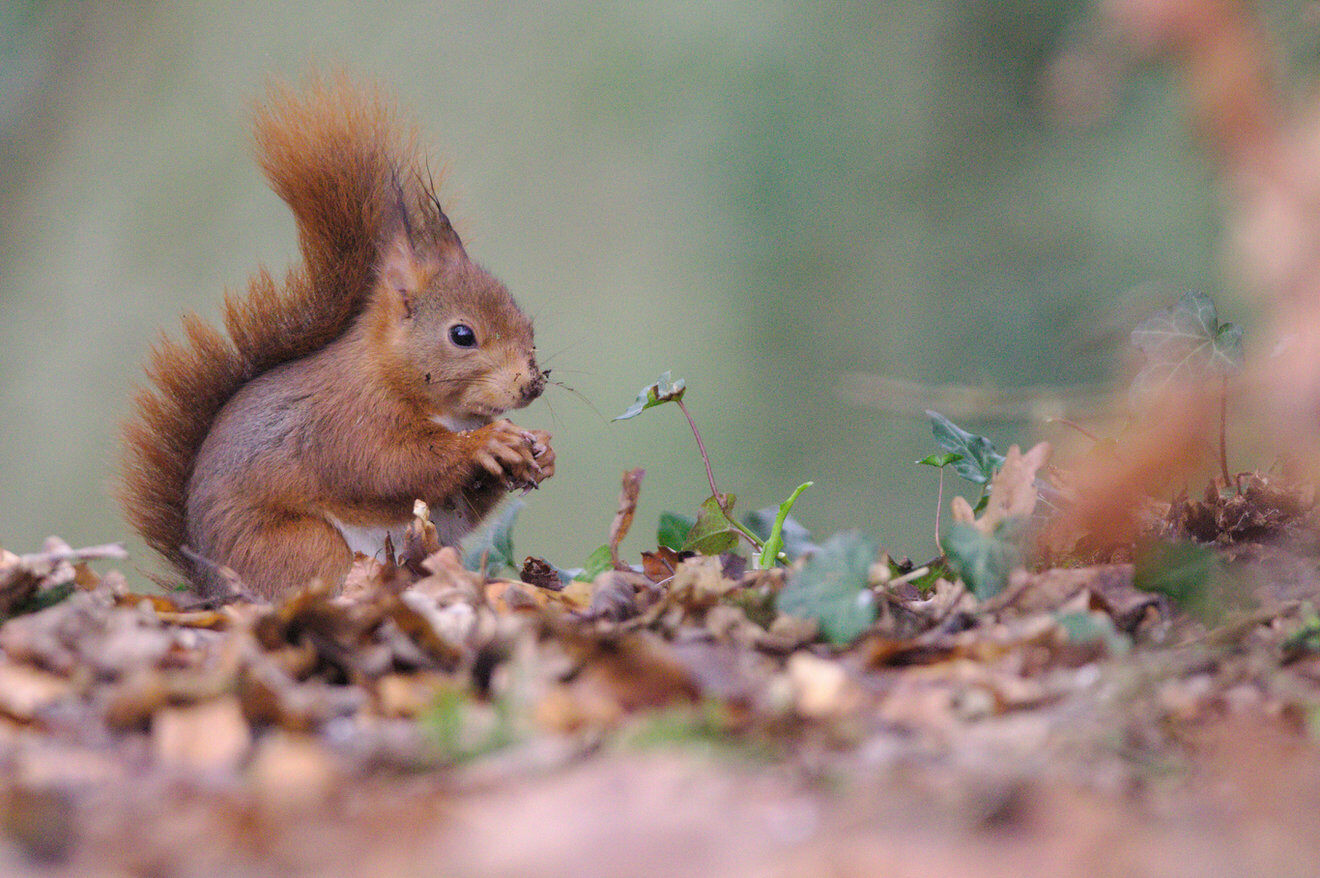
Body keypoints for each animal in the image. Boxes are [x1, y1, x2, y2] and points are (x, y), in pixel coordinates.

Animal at [121, 73, 554, 596]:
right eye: (462, 335)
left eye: (528, 324)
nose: (530, 385)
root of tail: (213, 589)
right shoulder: (346, 423)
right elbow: (394, 465)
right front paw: (485, 445)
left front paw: (541, 449)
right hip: (301, 546)